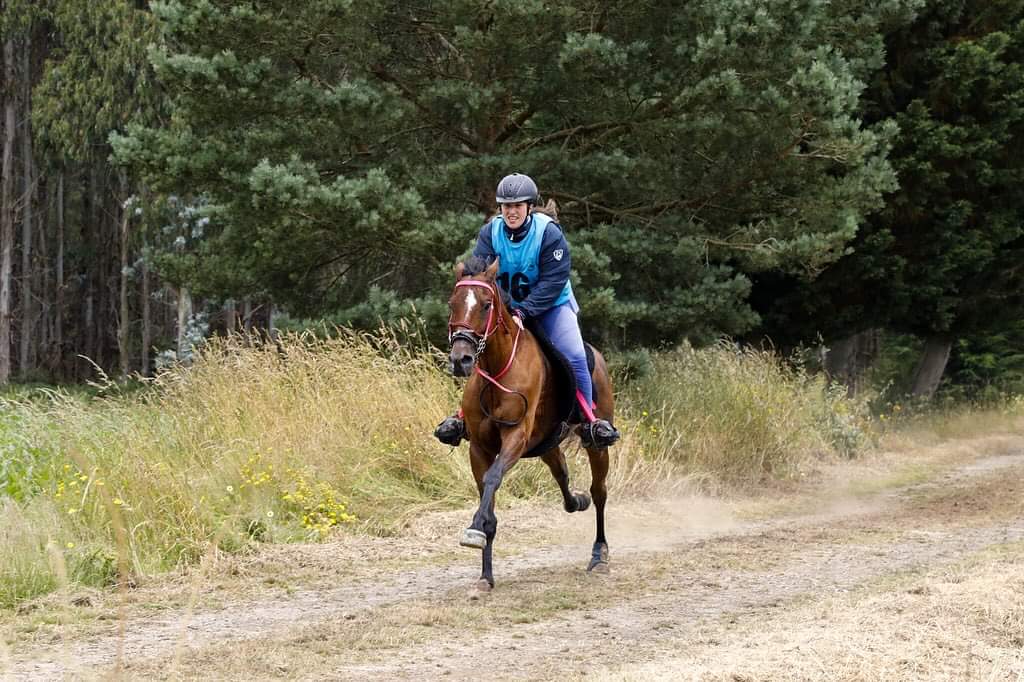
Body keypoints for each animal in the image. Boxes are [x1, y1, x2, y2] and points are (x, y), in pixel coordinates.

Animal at [444, 254, 610, 589]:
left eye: (486, 305)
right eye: (452, 303)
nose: (461, 360)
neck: (496, 370)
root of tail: (597, 356)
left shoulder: (516, 437)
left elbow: (493, 478)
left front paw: (474, 528)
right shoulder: (479, 447)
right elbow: (486, 492)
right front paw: (485, 574)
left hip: (597, 443)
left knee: (600, 491)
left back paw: (599, 555)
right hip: (547, 442)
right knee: (562, 473)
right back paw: (576, 501)